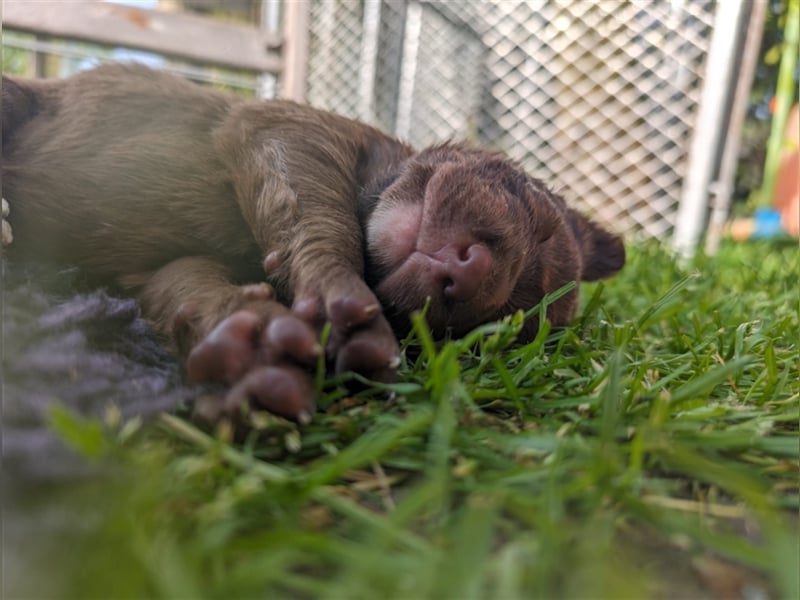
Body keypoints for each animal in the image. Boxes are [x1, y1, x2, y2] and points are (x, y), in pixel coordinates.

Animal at [1, 64, 624, 422]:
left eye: (485, 332)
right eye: (535, 208)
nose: (468, 276)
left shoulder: (158, 269)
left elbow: (186, 287)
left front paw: (252, 349)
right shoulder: (284, 127)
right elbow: (322, 216)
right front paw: (335, 292)